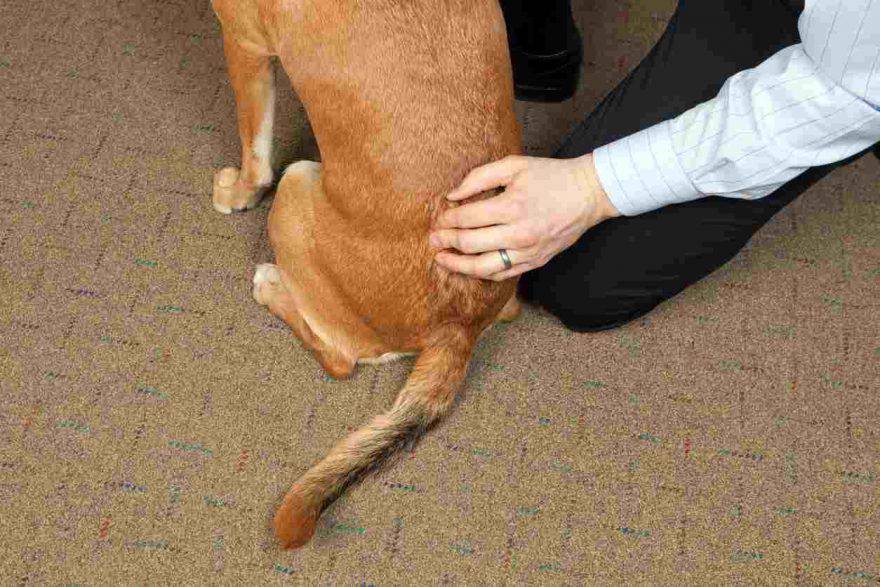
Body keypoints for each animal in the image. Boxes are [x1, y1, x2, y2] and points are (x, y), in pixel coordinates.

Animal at [212, 1, 524, 552]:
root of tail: (459, 324)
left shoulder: (244, 43)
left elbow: (255, 154)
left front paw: (237, 192)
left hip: (295, 191)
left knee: (338, 359)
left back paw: (271, 285)